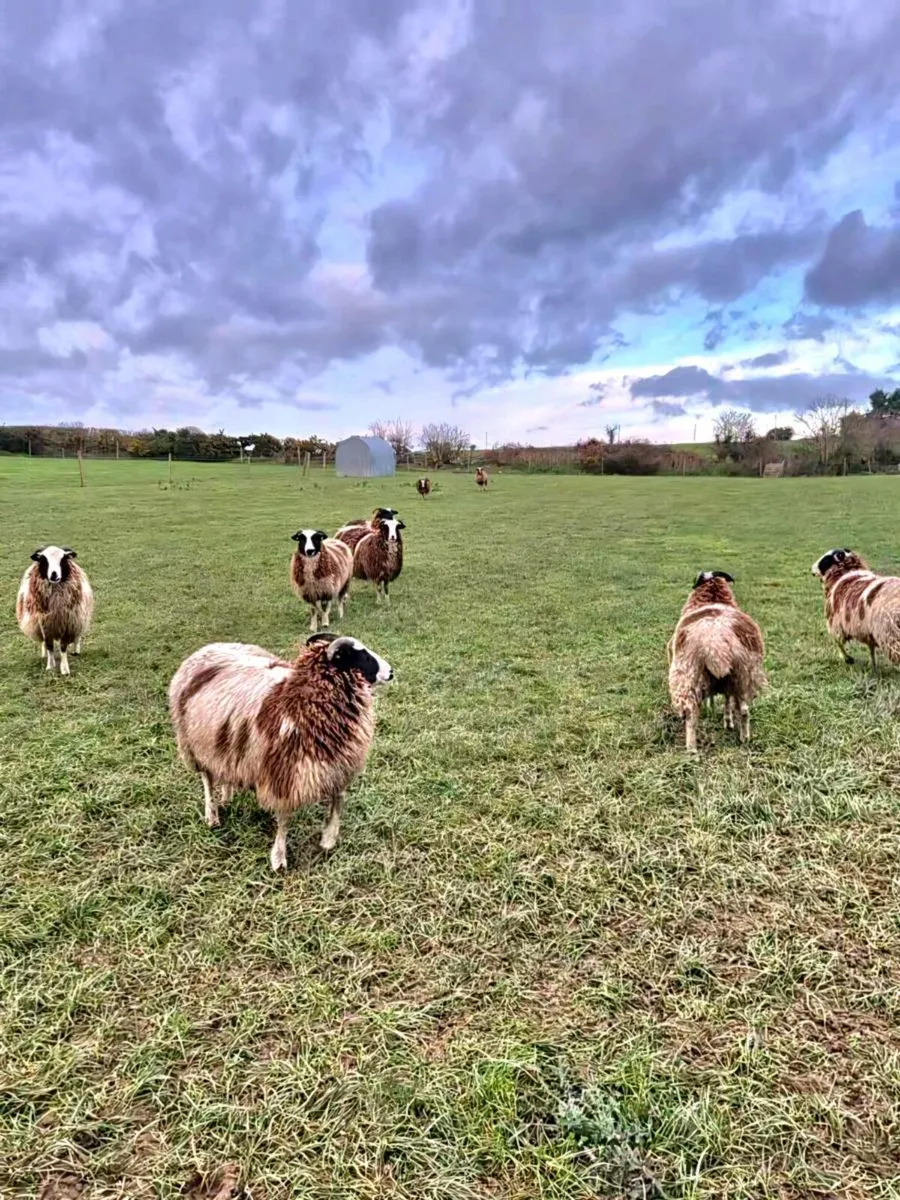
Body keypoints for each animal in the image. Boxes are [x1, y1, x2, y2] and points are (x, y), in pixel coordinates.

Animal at [16, 545, 94, 675]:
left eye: (63, 558)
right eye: (43, 559)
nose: (54, 575)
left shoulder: (68, 622)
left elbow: (63, 647)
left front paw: (65, 669)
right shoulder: (44, 622)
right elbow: (49, 645)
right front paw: (50, 665)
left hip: (80, 617)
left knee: (77, 636)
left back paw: (76, 650)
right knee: (44, 642)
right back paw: (44, 654)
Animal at [168, 632, 393, 870]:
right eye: (361, 655)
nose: (391, 672)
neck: (301, 702)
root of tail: (208, 648)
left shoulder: (336, 764)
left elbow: (338, 800)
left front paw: (328, 839)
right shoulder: (283, 774)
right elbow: (284, 820)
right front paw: (279, 857)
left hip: (224, 745)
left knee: (224, 771)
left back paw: (226, 798)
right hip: (194, 745)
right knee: (207, 780)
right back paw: (212, 816)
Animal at [668, 571, 766, 752]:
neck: (713, 598)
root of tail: (715, 640)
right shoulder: (728, 682)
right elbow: (727, 701)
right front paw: (728, 722)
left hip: (689, 675)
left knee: (691, 715)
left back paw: (691, 749)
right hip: (743, 676)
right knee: (744, 710)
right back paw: (744, 739)